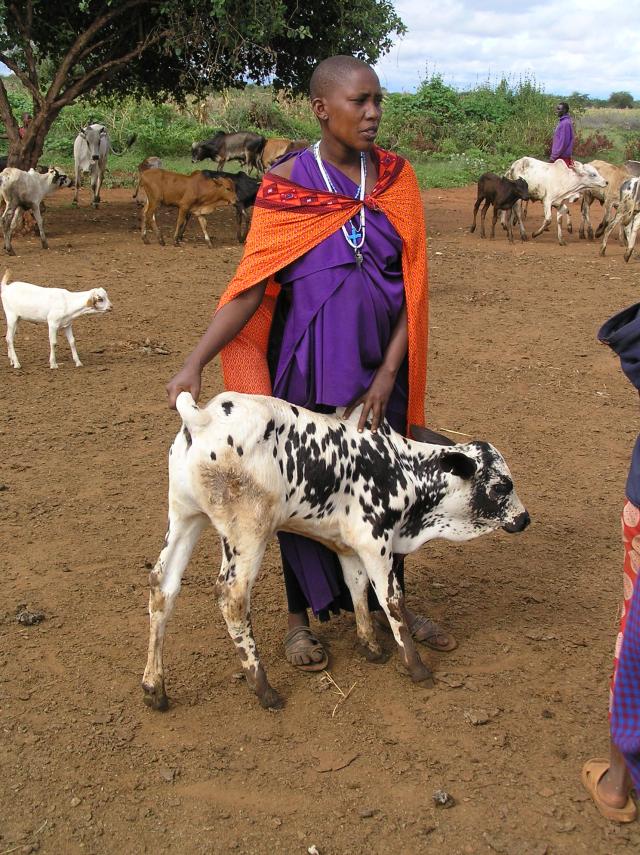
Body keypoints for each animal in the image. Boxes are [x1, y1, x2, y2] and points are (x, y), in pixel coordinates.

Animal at [142, 392, 528, 712]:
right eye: (501, 486)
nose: (524, 518)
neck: (402, 468)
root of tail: (202, 419)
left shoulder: (349, 547)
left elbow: (357, 589)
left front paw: (370, 647)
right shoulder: (376, 543)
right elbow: (392, 600)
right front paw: (416, 667)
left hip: (184, 516)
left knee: (163, 585)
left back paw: (154, 688)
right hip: (247, 535)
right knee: (232, 598)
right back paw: (264, 689)